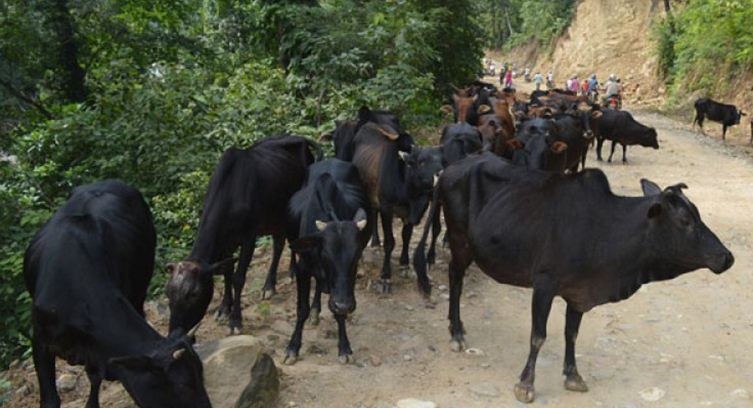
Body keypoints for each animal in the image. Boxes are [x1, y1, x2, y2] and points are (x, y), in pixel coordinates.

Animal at [164, 135, 318, 334]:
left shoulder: (249, 238)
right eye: (168, 293)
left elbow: (238, 278)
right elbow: (227, 272)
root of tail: (300, 138)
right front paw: (224, 309)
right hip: (275, 216)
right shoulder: (226, 243)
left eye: (194, 294)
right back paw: (272, 283)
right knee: (279, 244)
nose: (174, 331)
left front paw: (235, 320)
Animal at [284, 158, 372, 364]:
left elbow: (339, 313)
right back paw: (315, 312)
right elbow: (301, 309)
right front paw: (293, 348)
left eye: (356, 256)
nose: (344, 304)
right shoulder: (302, 269)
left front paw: (344, 347)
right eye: (325, 255)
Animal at [352, 115, 444, 294]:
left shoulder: (411, 214)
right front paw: (385, 277)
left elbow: (406, 236)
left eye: (442, 161)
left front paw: (405, 264)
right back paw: (374, 243)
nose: (440, 174)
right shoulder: (387, 209)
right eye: (421, 162)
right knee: (373, 214)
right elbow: (390, 242)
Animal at [438, 154, 732, 404]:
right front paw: (526, 384)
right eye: (685, 221)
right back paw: (456, 332)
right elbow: (538, 336)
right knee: (455, 277)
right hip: (459, 240)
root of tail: (453, 167)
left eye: (698, 214)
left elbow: (572, 333)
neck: (602, 229)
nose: (727, 257)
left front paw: (573, 375)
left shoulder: (578, 292)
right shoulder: (544, 284)